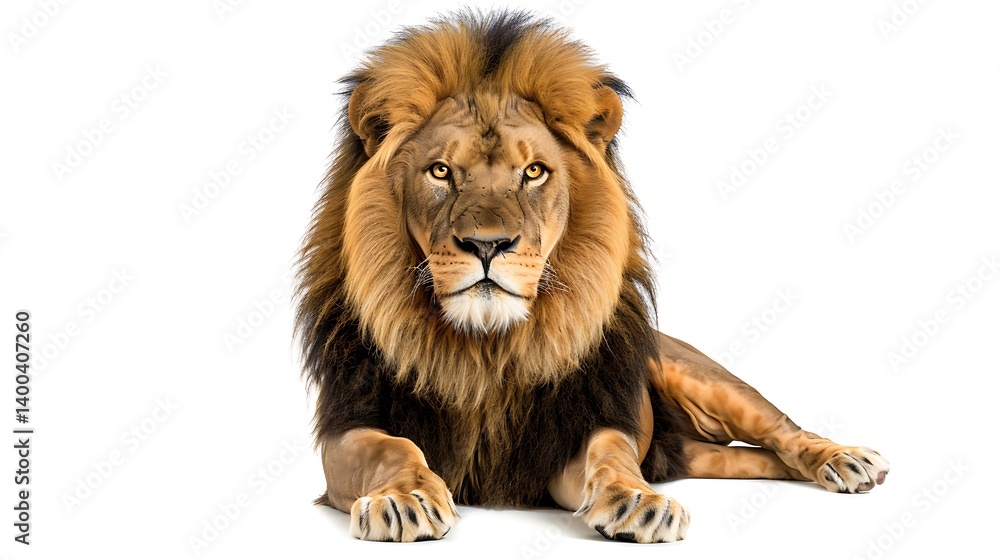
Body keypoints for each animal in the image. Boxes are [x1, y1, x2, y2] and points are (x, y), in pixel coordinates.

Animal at [296, 10, 889, 543]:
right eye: (441, 172)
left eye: (534, 172)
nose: (488, 244)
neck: (486, 350)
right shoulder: (348, 426)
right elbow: (394, 448)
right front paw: (406, 497)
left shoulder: (577, 429)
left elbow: (612, 455)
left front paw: (638, 501)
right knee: (755, 458)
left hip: (702, 377)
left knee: (778, 429)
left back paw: (845, 459)